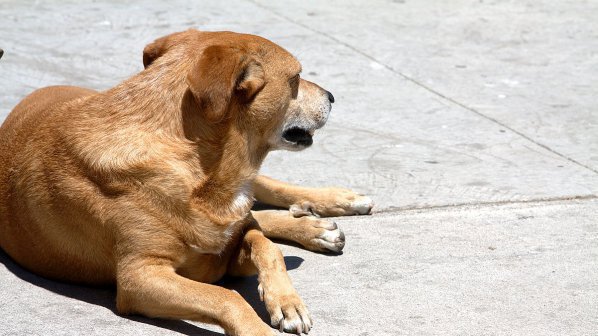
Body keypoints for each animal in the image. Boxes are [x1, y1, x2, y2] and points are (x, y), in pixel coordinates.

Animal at [0, 30, 372, 334]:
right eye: (296, 78)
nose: (332, 96)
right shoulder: (140, 278)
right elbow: (227, 296)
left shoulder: (230, 243)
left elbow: (266, 246)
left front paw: (286, 301)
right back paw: (313, 224)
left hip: (255, 189)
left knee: (265, 195)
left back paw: (332, 207)